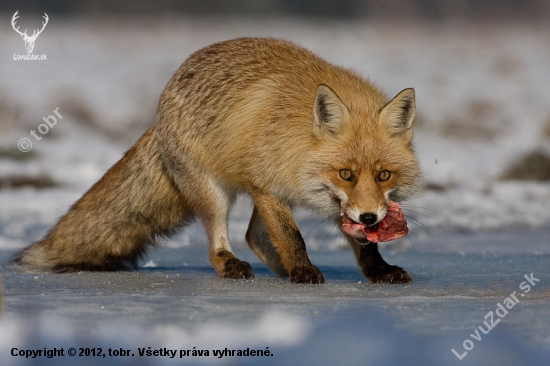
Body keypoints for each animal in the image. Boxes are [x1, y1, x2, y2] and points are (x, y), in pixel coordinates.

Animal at [16, 38, 422, 284]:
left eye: (384, 175)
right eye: (345, 173)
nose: (369, 218)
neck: (295, 132)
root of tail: (159, 108)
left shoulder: (299, 194)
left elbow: (363, 244)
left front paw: (379, 270)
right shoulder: (268, 187)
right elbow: (292, 237)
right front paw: (303, 269)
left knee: (255, 236)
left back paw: (279, 269)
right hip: (214, 193)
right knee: (222, 243)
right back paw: (234, 264)